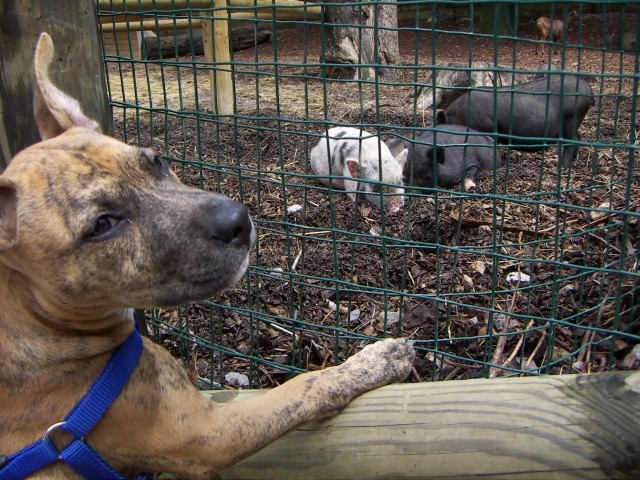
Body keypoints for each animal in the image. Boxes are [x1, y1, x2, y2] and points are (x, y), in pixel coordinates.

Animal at [0, 31, 416, 478]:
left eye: (157, 160)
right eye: (100, 225)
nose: (239, 219)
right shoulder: (192, 432)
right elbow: (300, 387)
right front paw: (398, 352)